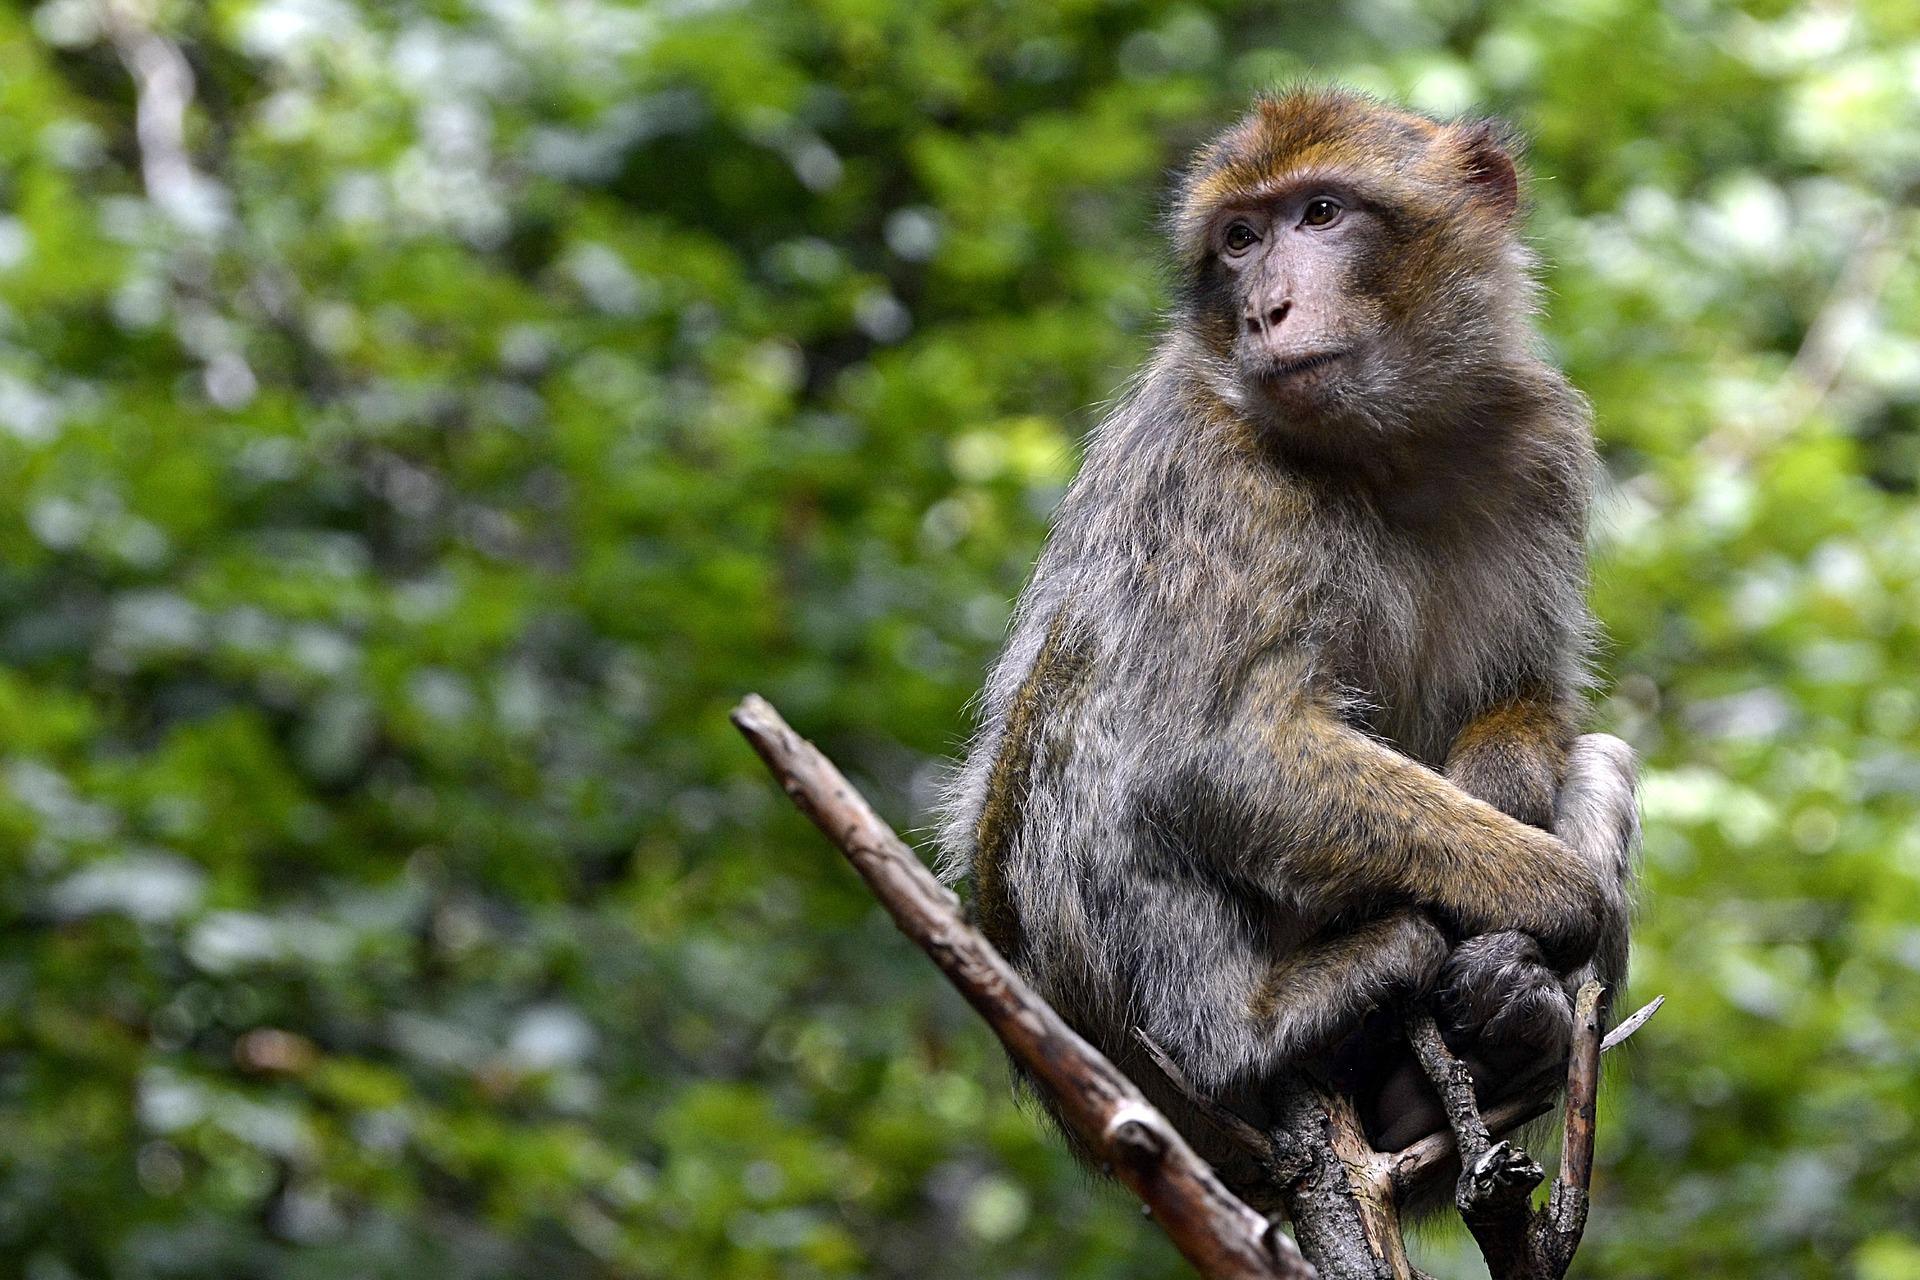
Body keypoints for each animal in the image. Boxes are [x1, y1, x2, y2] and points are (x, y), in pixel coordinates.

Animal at [936, 90, 1643, 1205]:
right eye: (1238, 239)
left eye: (1318, 213)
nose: (1266, 308)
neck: (1385, 448)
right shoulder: (1210, 469)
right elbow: (1219, 750)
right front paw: (1557, 886)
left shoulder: (1544, 443)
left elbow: (1530, 693)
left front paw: (1506, 809)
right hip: (1123, 1041)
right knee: (1096, 722)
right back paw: (1257, 1026)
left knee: (1604, 753)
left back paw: (1499, 1032)